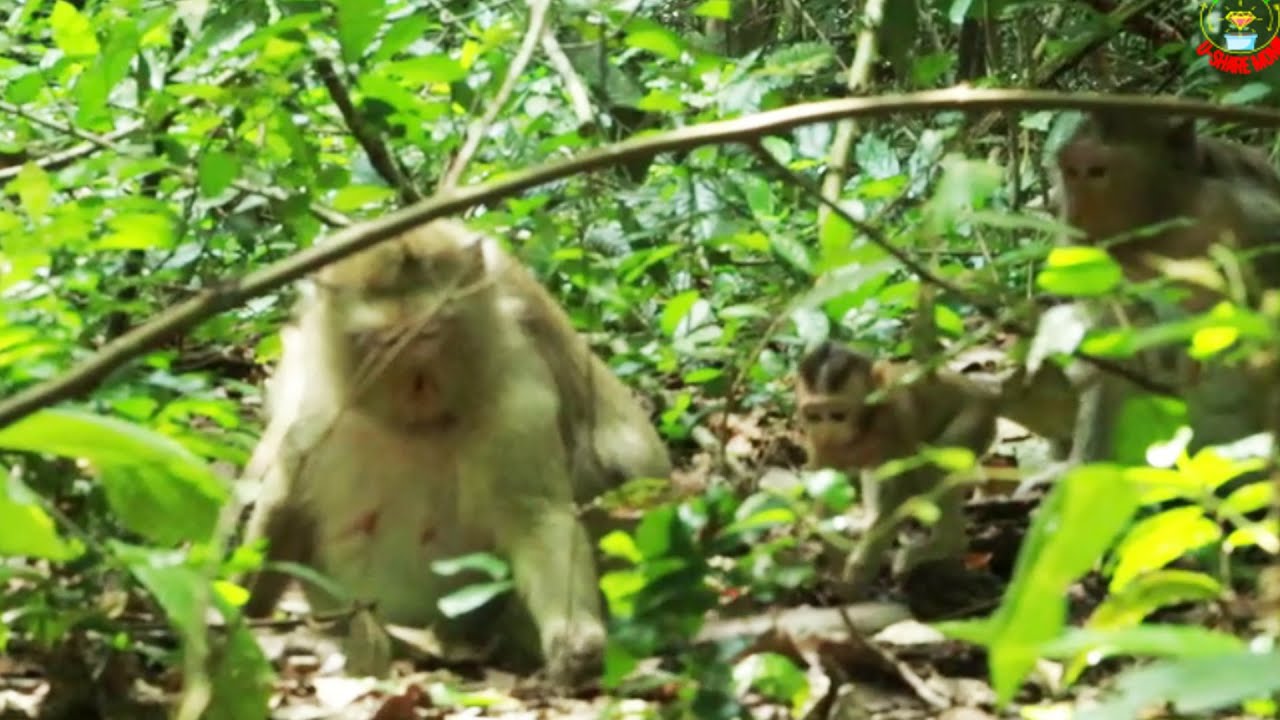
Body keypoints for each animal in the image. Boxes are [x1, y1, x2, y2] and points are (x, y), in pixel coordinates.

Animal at [238, 219, 671, 687]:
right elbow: (283, 502)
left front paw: (575, 643)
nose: (418, 385)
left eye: (430, 332)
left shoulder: (515, 395)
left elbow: (537, 515)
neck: (412, 428)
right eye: (388, 341)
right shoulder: (316, 404)